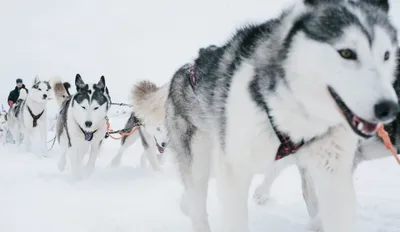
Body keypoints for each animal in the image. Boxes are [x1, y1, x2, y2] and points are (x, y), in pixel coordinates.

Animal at [164, 0, 398, 232]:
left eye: (386, 55)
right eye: (347, 53)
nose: (388, 107)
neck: (298, 118)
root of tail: (186, 69)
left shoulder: (334, 173)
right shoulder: (233, 170)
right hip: (201, 160)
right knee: (197, 203)